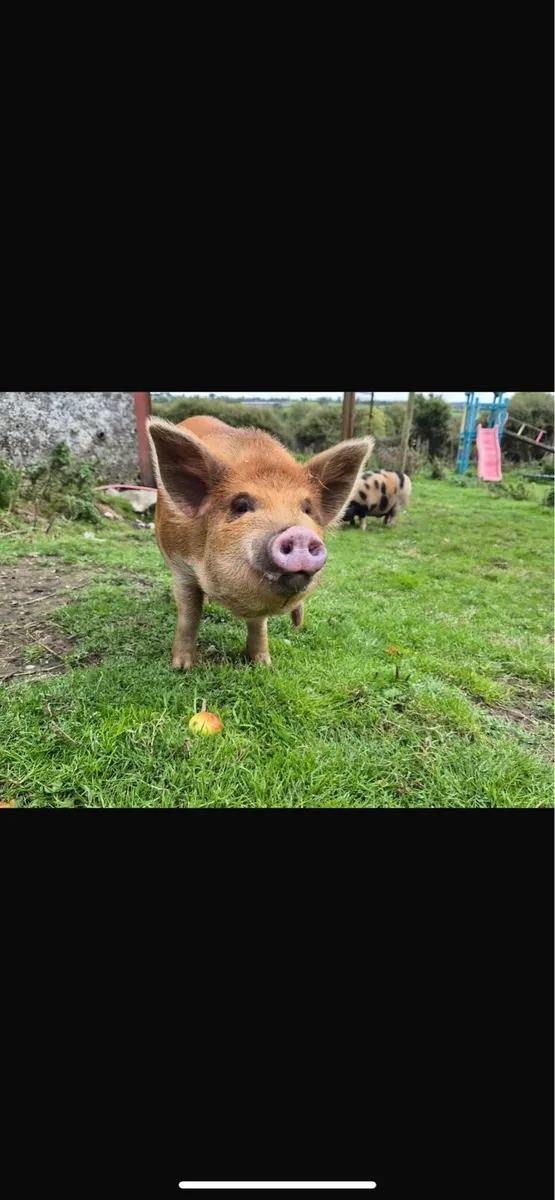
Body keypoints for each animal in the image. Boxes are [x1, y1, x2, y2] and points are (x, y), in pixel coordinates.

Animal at [147, 415, 373, 669]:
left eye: (307, 509)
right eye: (241, 506)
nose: (299, 533)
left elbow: (259, 623)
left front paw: (264, 664)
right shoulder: (180, 566)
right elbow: (190, 613)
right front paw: (181, 668)